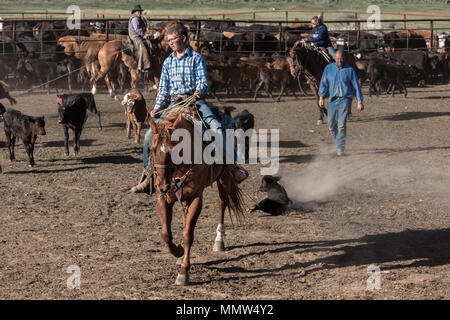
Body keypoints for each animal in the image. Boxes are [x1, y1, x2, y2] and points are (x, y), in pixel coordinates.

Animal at [148, 109, 246, 284]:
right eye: (152, 149)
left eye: (174, 150)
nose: (162, 186)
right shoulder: (164, 199)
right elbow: (166, 233)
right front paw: (178, 251)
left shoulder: (196, 199)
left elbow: (188, 234)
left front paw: (183, 272)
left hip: (225, 178)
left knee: (222, 204)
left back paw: (219, 241)